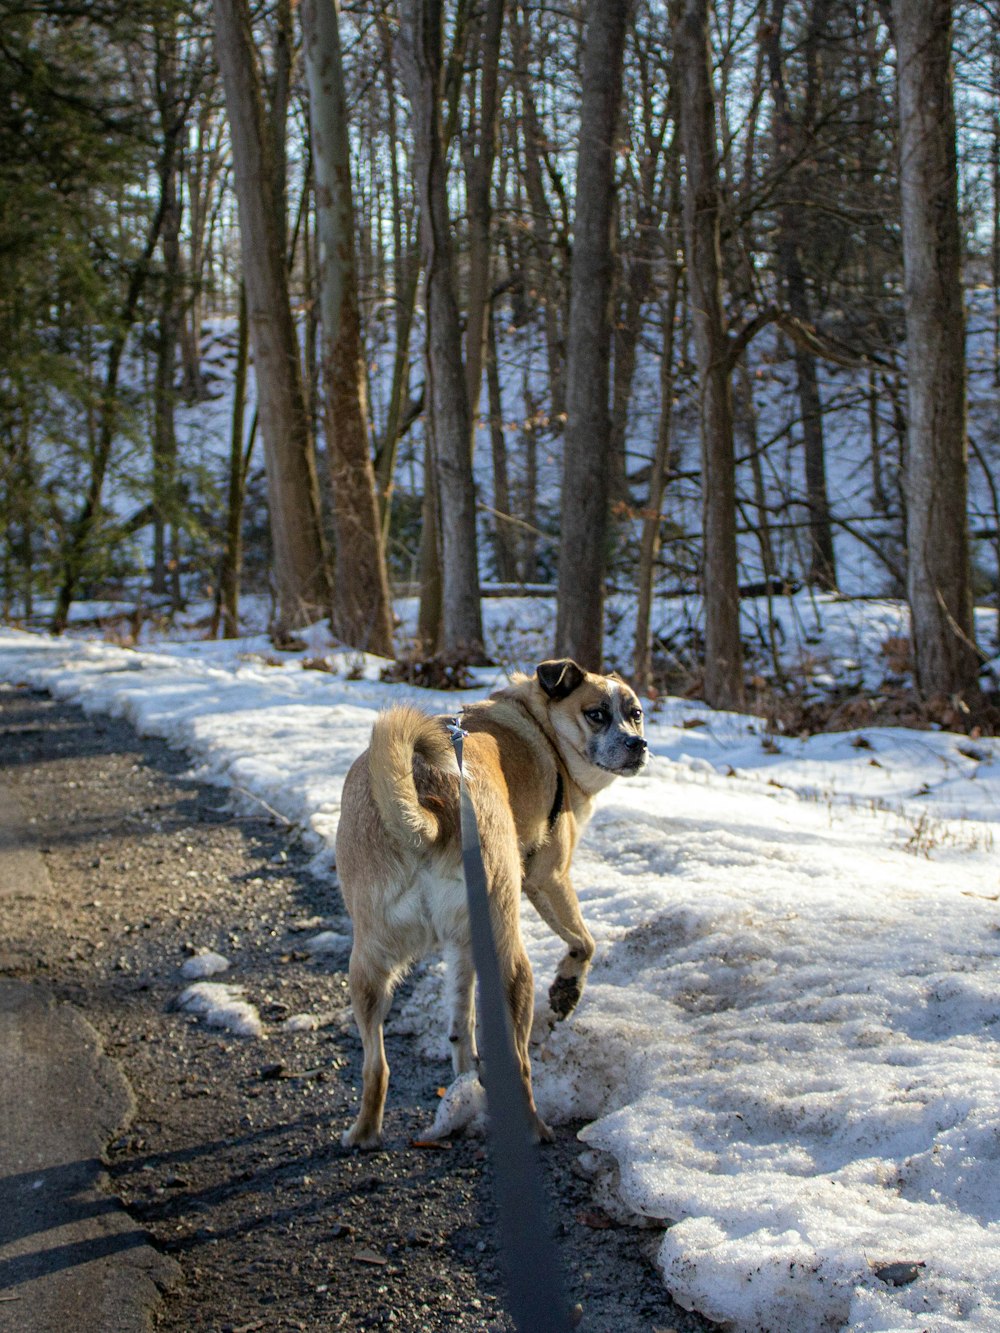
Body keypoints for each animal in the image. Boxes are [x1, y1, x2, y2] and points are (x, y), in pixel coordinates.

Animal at [337, 655, 650, 1146]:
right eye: (597, 714)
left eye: (635, 713)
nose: (638, 744)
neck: (543, 727)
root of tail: (429, 806)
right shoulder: (548, 879)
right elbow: (585, 941)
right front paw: (567, 990)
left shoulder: (464, 943)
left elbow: (460, 1016)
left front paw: (464, 1072)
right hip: (510, 957)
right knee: (519, 1065)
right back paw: (534, 1128)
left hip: (369, 965)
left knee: (377, 1065)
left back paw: (367, 1131)